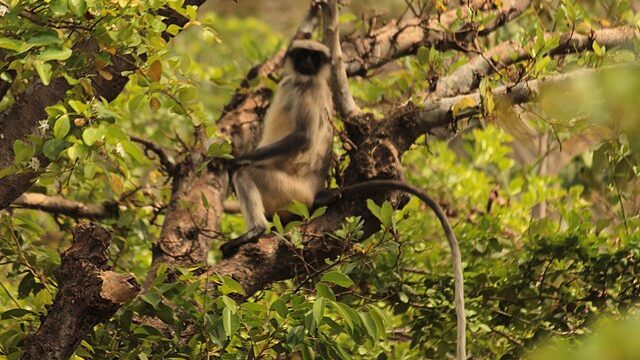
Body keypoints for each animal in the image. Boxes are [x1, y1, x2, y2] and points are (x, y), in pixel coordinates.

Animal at [221, 40, 336, 256]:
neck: (302, 80)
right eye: (303, 54)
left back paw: (257, 229)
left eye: (315, 57)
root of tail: (314, 189)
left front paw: (236, 162)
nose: (308, 62)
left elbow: (303, 137)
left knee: (244, 172)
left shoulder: (310, 88)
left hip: (291, 192)